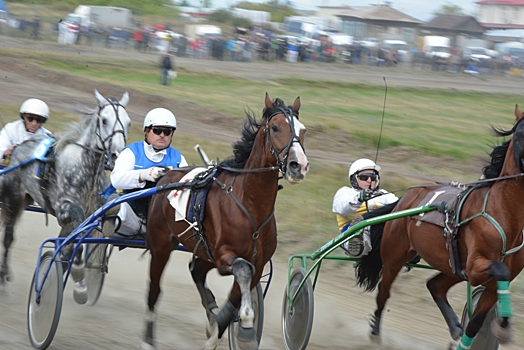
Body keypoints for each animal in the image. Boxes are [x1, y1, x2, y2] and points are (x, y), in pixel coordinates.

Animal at [0, 89, 131, 302]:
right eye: (104, 120)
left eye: (128, 122)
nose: (116, 155)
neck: (85, 172)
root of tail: (17, 148)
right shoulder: (65, 210)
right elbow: (75, 239)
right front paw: (77, 277)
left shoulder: (91, 213)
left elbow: (72, 245)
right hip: (13, 200)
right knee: (8, 238)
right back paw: (4, 275)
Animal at [141, 93, 310, 350]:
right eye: (275, 127)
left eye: (303, 130)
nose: (298, 165)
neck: (250, 204)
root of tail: (166, 175)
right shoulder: (225, 255)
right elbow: (243, 271)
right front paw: (245, 329)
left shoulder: (256, 262)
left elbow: (236, 298)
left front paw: (219, 329)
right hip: (161, 245)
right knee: (154, 289)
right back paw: (148, 340)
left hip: (203, 251)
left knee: (196, 271)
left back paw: (211, 313)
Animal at [354, 106, 524, 350]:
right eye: (521, 134)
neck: (502, 214)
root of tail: (405, 199)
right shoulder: (476, 267)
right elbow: (501, 269)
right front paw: (503, 327)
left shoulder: (490, 282)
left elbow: (475, 324)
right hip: (394, 257)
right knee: (383, 294)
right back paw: (375, 335)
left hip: (452, 267)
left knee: (435, 285)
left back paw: (455, 328)